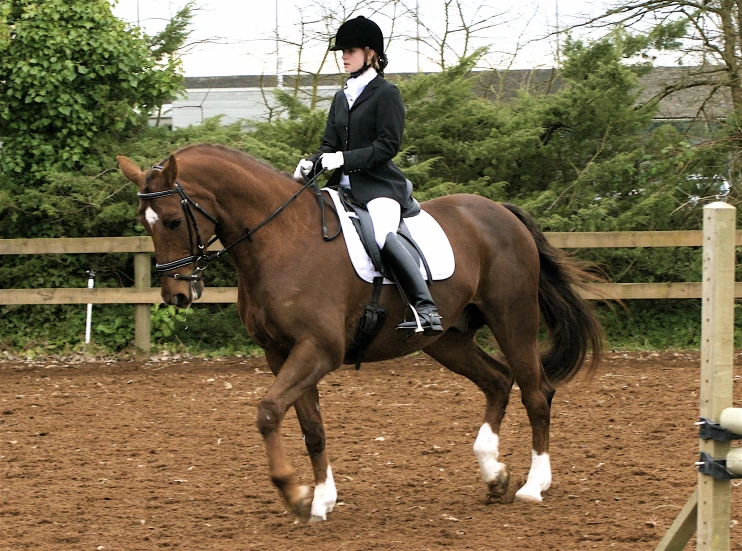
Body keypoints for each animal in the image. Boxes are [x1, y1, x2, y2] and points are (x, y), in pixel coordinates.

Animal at [117, 142, 604, 520]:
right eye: (143, 223)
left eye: (173, 221)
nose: (176, 294)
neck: (281, 240)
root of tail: (500, 212)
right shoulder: (282, 353)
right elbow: (311, 427)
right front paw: (321, 500)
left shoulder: (318, 349)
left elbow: (269, 411)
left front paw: (295, 493)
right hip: (446, 340)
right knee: (498, 381)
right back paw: (494, 474)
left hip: (513, 319)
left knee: (536, 392)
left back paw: (533, 486)